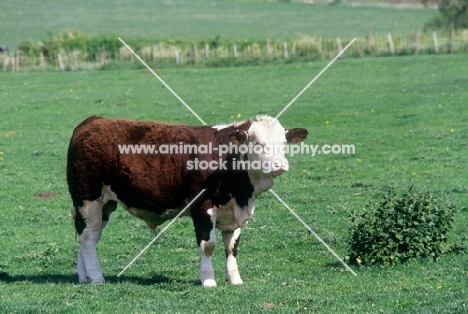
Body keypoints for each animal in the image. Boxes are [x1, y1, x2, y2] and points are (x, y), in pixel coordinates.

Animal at [66, 115, 308, 288]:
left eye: (284, 142)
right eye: (257, 143)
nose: (280, 165)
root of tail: (92, 121)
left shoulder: (234, 212)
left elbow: (232, 247)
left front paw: (235, 279)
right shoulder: (202, 206)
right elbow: (208, 245)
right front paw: (208, 281)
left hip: (104, 204)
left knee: (90, 237)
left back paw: (84, 276)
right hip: (88, 199)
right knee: (88, 237)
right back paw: (96, 277)